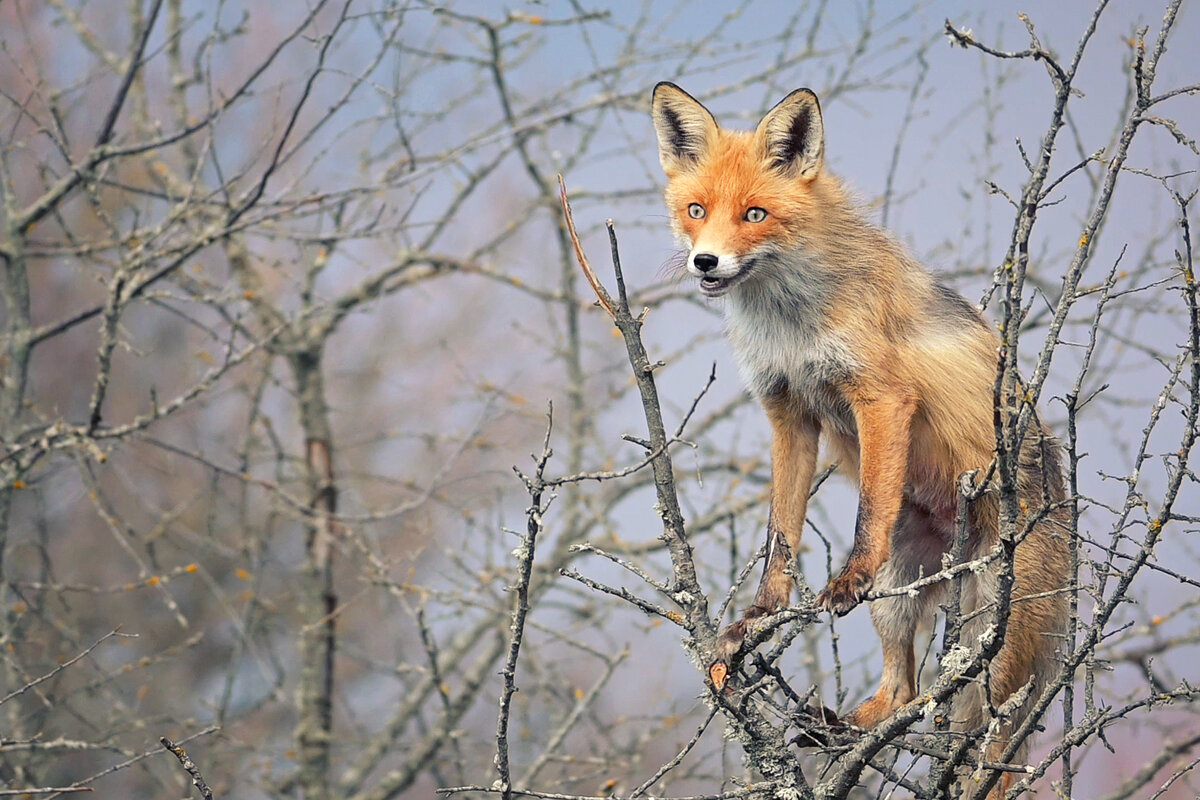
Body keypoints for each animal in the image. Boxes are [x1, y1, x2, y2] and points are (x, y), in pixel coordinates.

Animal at [652, 82, 1075, 796]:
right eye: (696, 210)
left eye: (755, 214)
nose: (704, 261)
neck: (788, 321)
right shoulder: (788, 414)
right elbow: (780, 537)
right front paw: (757, 620)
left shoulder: (880, 396)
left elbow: (869, 508)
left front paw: (848, 577)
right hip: (901, 600)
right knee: (904, 690)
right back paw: (846, 728)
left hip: (998, 632)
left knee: (991, 743)